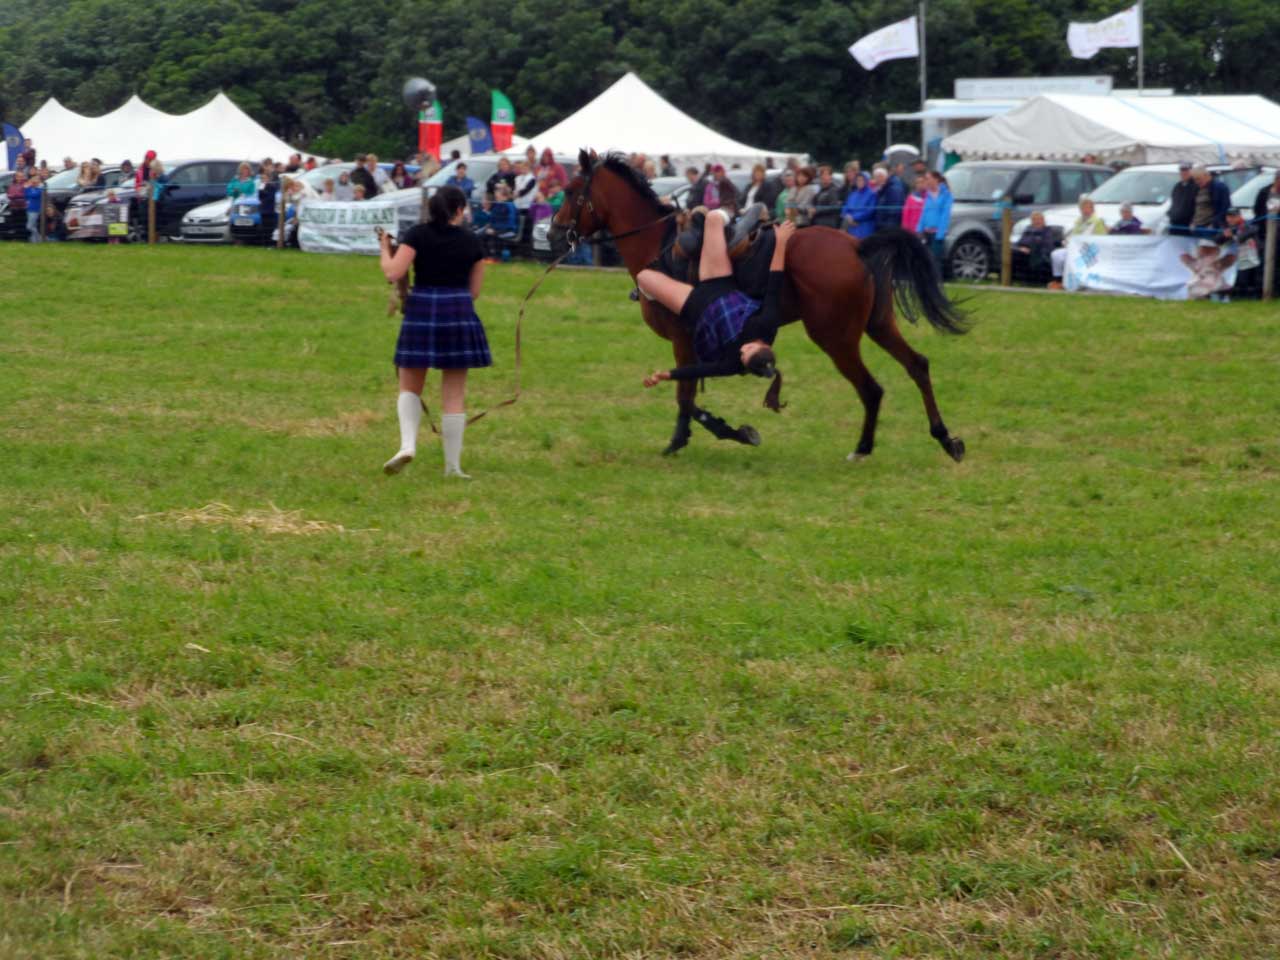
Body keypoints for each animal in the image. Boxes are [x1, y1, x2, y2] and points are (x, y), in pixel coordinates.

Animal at [550, 150, 967, 463]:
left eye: (570, 190)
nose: (553, 230)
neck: (660, 244)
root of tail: (856, 246)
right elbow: (688, 394)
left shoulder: (683, 340)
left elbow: (685, 395)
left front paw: (698, 437)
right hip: (877, 325)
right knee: (917, 366)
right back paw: (945, 438)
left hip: (836, 338)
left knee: (871, 388)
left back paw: (863, 448)